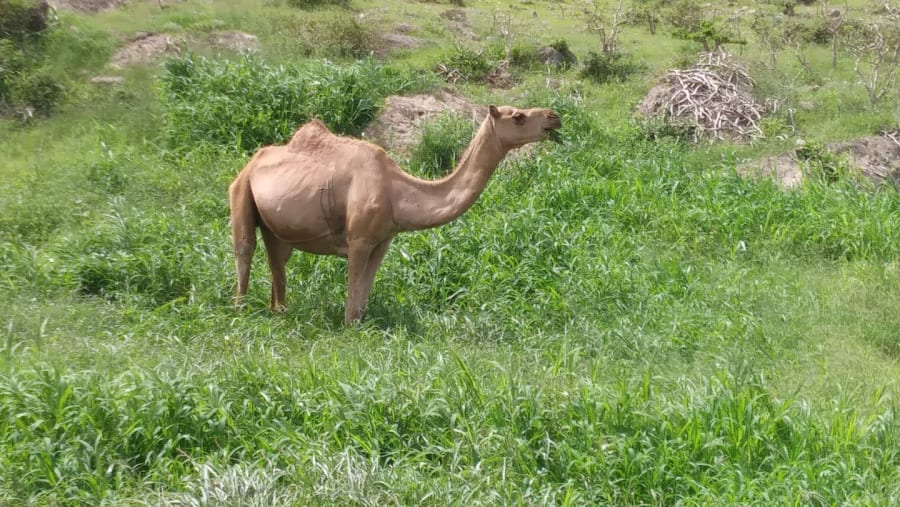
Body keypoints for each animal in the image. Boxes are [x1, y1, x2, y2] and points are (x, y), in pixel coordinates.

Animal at [229, 105, 562, 323]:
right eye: (517, 116)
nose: (554, 116)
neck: (395, 191)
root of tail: (251, 162)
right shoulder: (359, 239)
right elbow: (352, 304)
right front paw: (348, 332)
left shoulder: (382, 241)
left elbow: (362, 299)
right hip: (241, 192)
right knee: (245, 249)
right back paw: (241, 311)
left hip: (277, 225)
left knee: (277, 260)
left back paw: (279, 311)